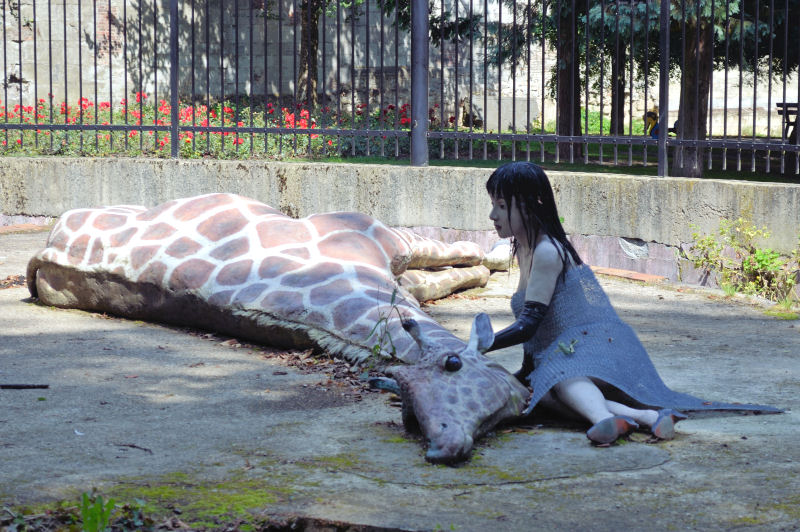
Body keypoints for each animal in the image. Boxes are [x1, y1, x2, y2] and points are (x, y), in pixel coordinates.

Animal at [26, 193, 532, 464]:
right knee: (450, 272)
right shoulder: (383, 262)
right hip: (396, 256)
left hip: (388, 237)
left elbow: (458, 254)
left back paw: (500, 260)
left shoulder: (379, 244)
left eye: (453, 365)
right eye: (407, 411)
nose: (445, 445)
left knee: (459, 255)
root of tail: (46, 244)